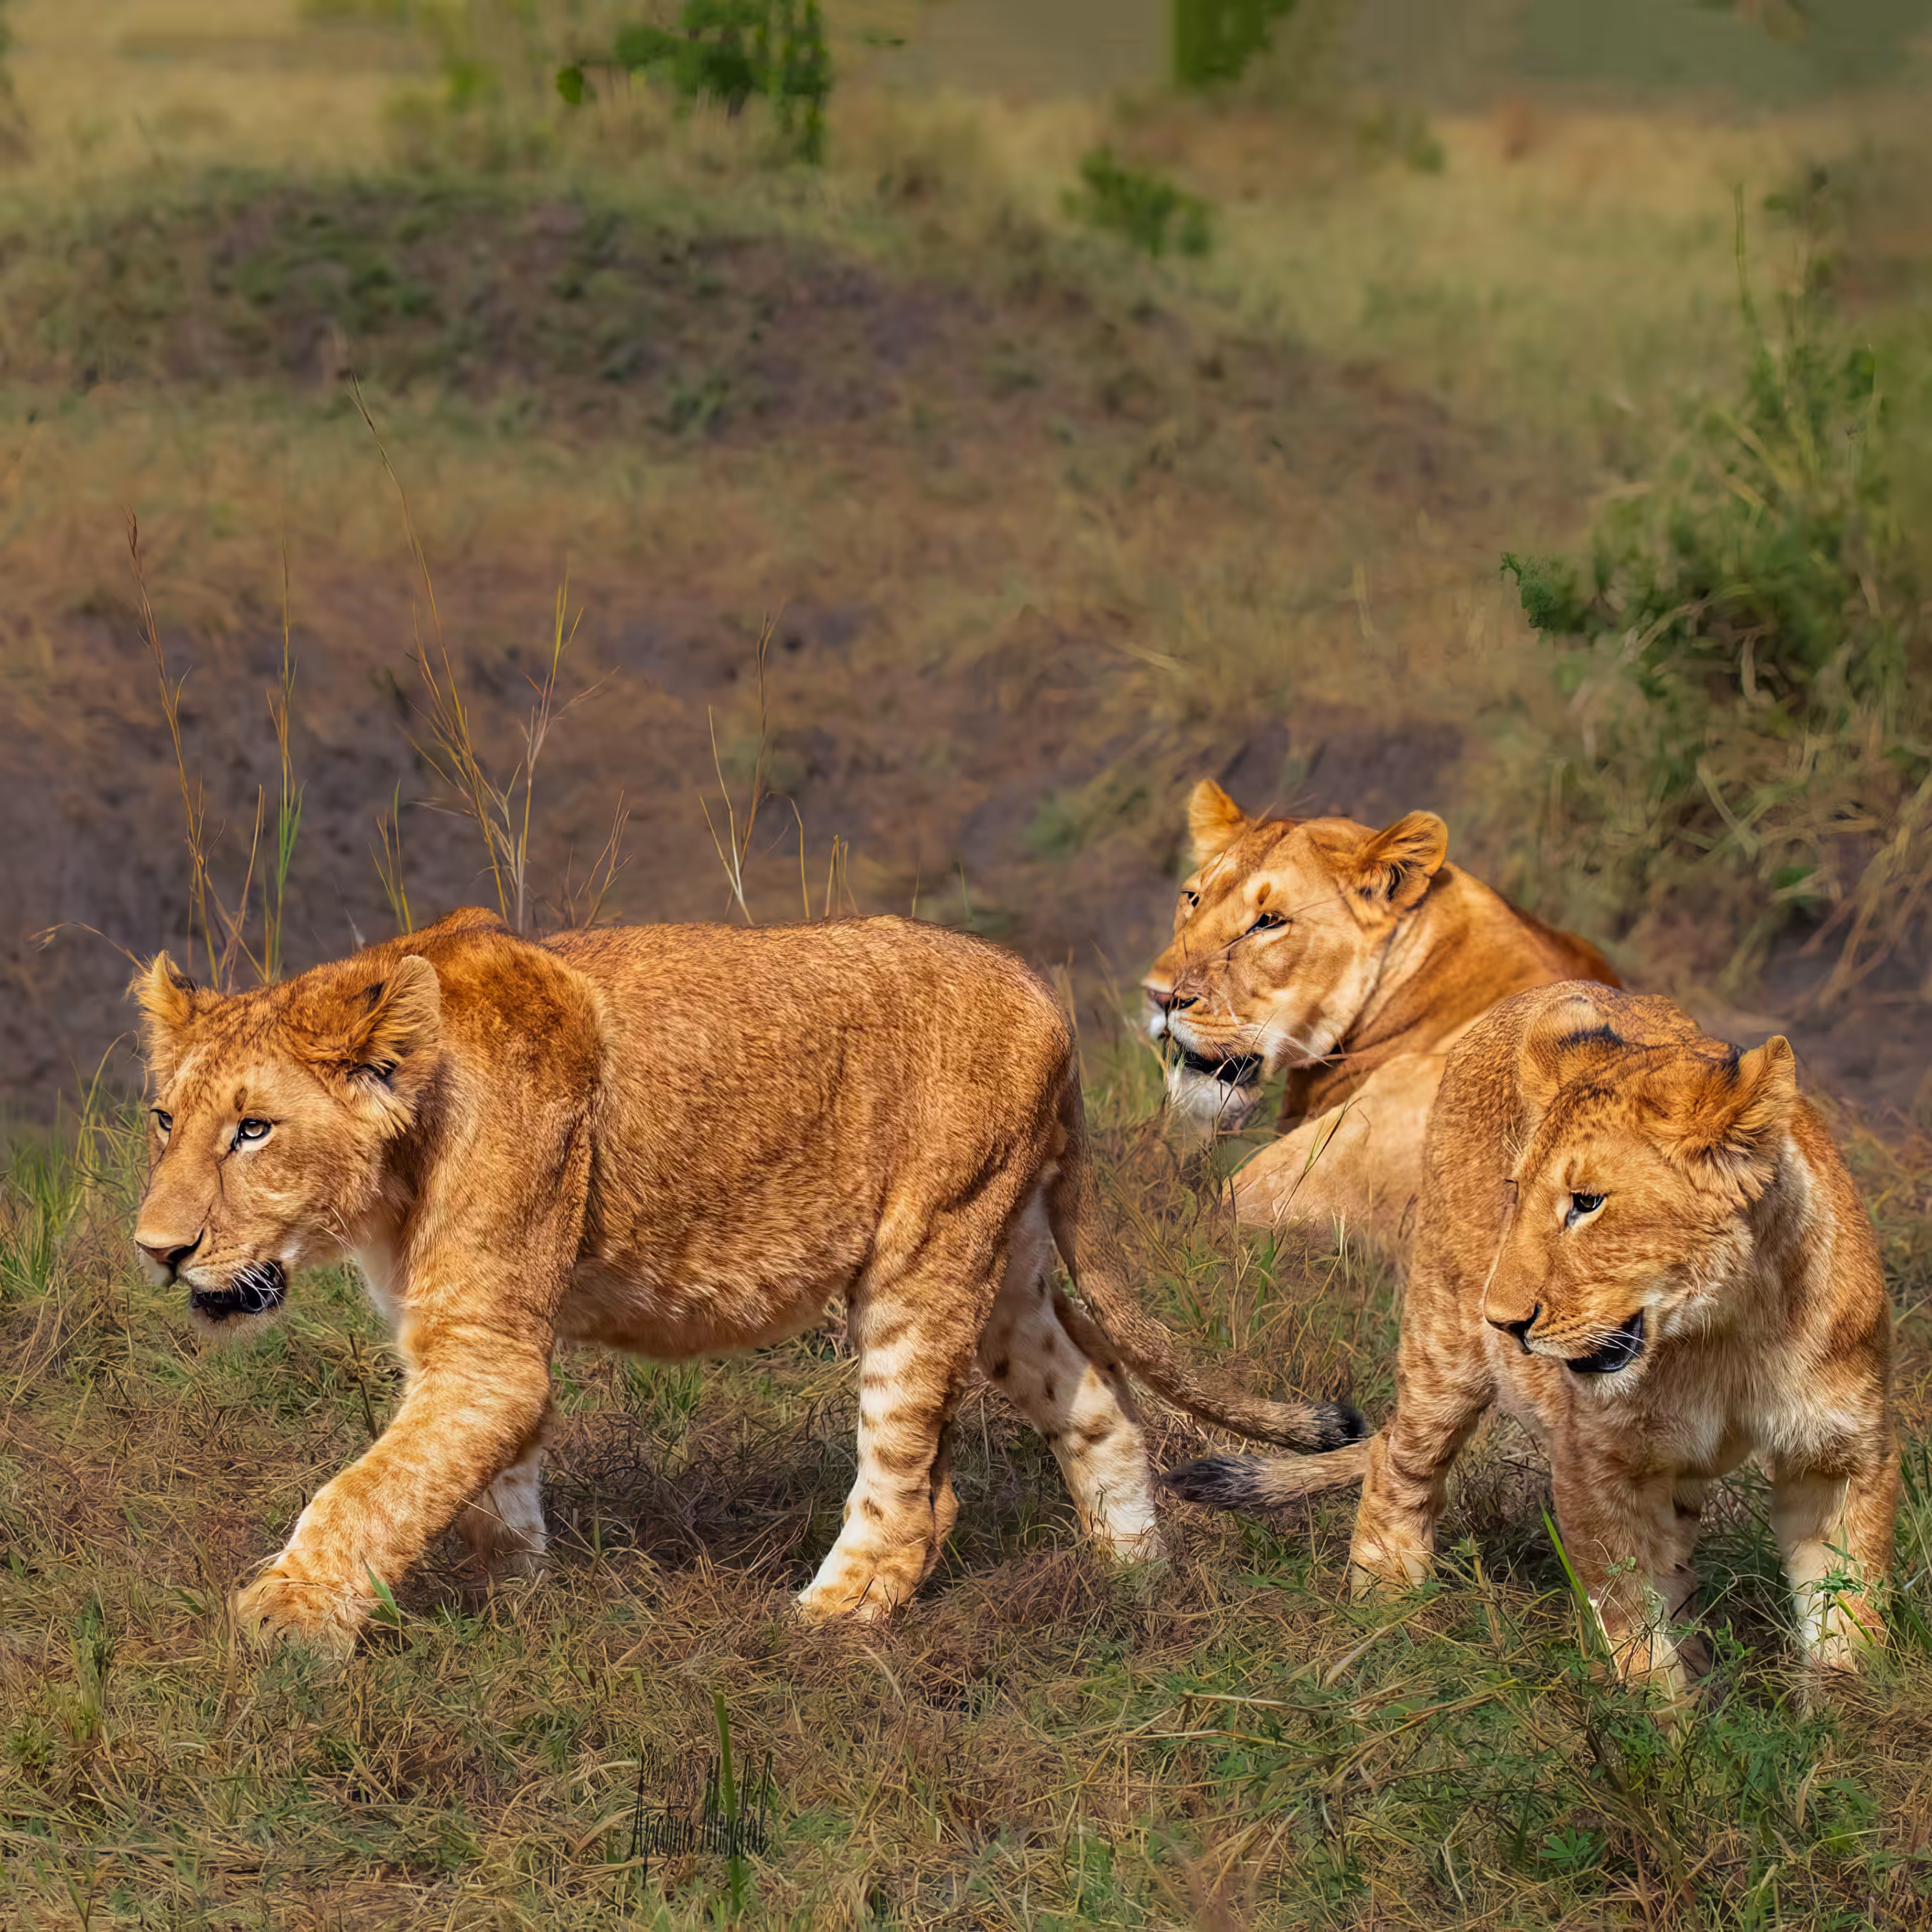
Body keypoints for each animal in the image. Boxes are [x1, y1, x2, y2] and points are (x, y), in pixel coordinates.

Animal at [129, 906, 1363, 1651]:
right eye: (164, 1119)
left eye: (253, 1130)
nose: (157, 1250)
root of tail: (1044, 995)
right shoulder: (481, 1346)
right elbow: (483, 1485)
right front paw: (517, 1611)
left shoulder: (483, 1352)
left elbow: (364, 1491)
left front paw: (280, 1626)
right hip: (1002, 1263)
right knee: (1099, 1400)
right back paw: (1134, 1587)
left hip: (921, 1259)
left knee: (916, 1490)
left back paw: (822, 1626)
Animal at [1164, 982, 1900, 1698]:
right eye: (1516, 1192)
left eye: (1588, 1202)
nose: (1503, 1321)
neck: (1723, 1336)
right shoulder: (1591, 1465)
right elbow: (1639, 1643)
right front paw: (1669, 1727)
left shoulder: (1842, 1458)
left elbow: (1846, 1619)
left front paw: (1844, 1722)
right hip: (1441, 1336)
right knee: (1397, 1459)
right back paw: (1388, 1613)